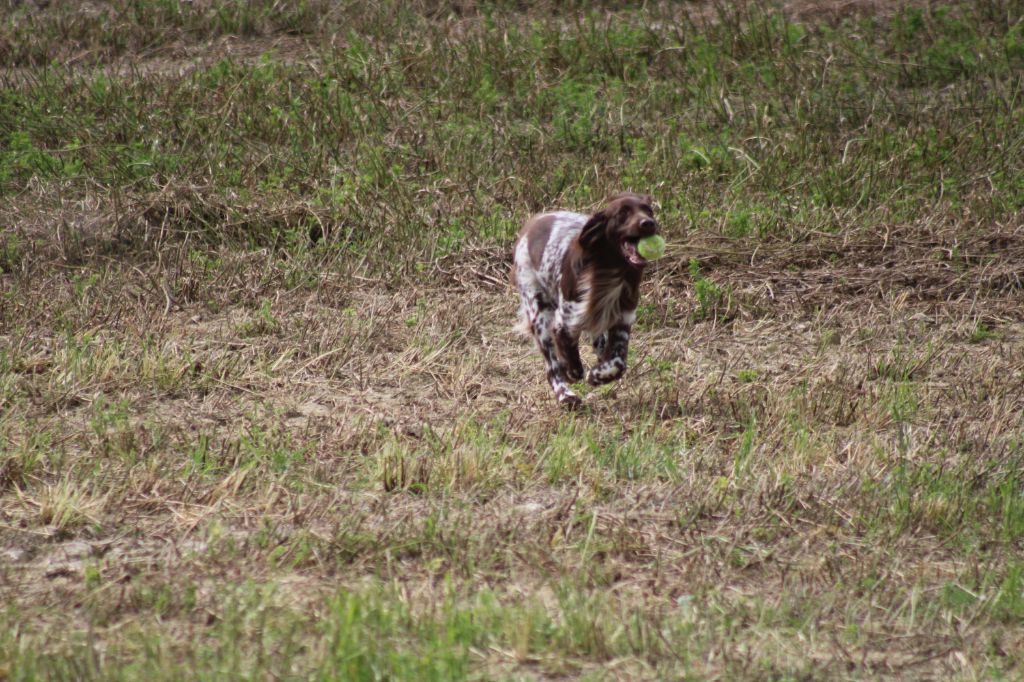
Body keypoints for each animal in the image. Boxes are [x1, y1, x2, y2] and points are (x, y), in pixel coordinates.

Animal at [516, 188, 659, 405]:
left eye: (648, 210)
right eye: (623, 213)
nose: (648, 223)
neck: (611, 269)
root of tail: (532, 222)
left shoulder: (623, 319)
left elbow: (618, 363)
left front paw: (599, 375)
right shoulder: (563, 322)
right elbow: (570, 358)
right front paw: (572, 372)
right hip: (539, 313)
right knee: (552, 368)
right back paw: (565, 395)